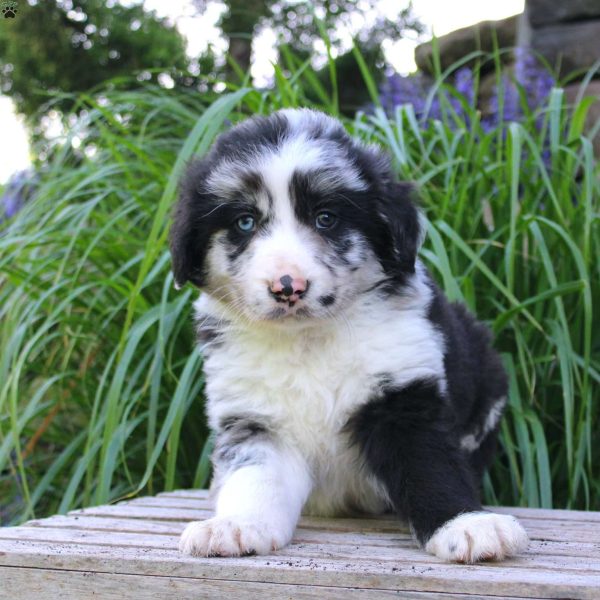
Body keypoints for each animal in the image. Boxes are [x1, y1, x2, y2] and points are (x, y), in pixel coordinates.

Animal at [170, 106, 528, 564]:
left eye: (326, 218)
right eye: (244, 222)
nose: (288, 286)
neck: (308, 340)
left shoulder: (404, 396)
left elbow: (430, 466)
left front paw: (466, 524)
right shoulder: (256, 419)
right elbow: (255, 477)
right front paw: (234, 526)